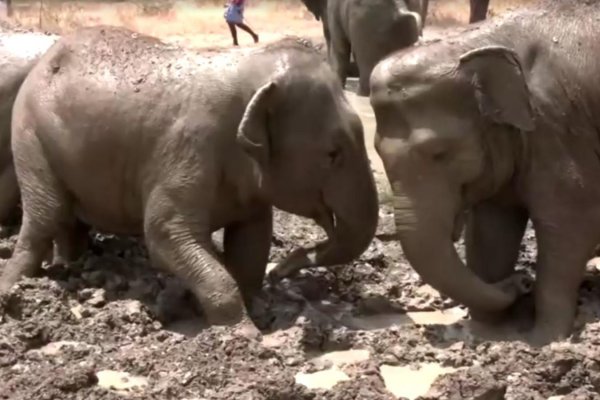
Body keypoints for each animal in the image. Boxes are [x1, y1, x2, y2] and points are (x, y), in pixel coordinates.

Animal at [370, 0, 600, 344]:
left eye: (440, 153)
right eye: (377, 152)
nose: (522, 281)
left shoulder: (559, 127)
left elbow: (569, 227)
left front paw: (545, 342)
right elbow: (492, 229)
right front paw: (487, 333)